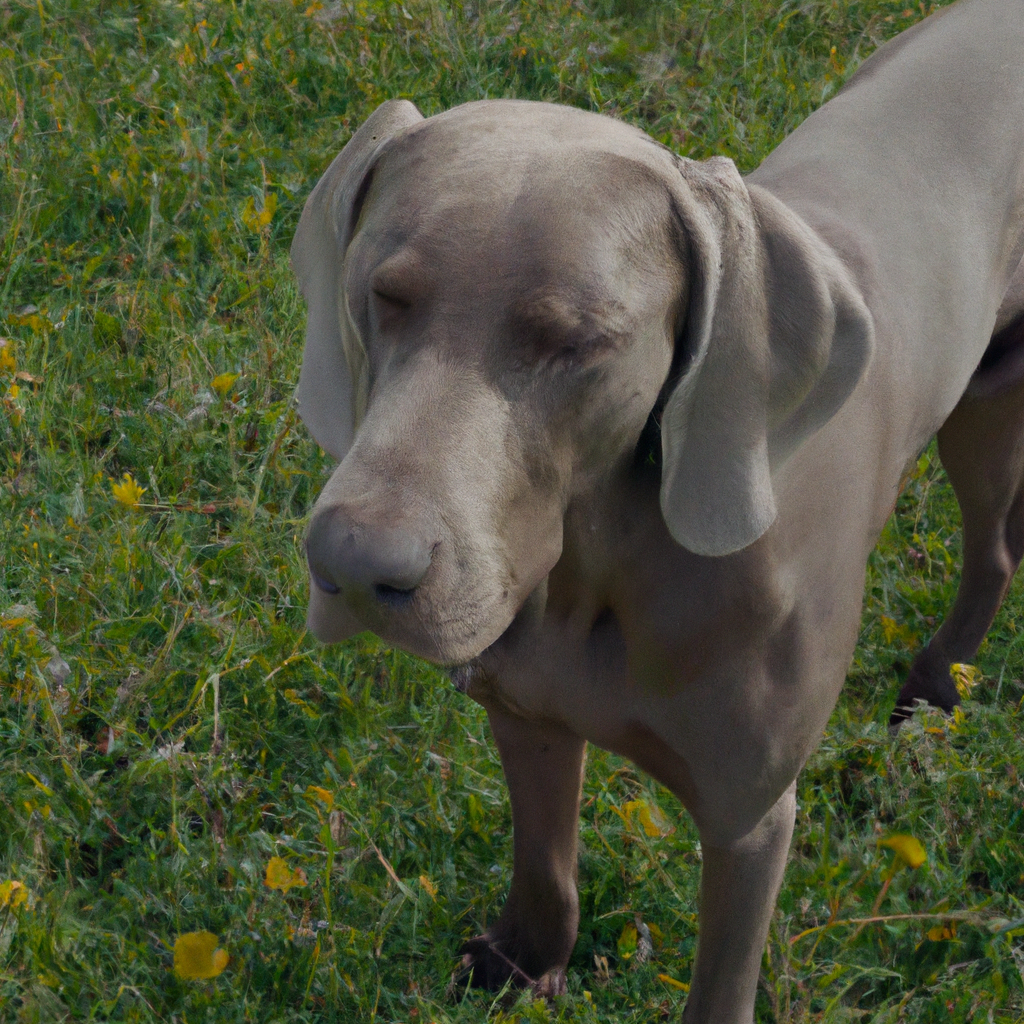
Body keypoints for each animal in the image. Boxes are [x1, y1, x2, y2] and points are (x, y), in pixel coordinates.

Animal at [288, 2, 1024, 1015]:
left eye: (579, 342)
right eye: (381, 295)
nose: (357, 567)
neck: (600, 578)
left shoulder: (750, 819)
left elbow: (720, 986)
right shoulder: (527, 710)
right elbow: (545, 863)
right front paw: (524, 961)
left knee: (993, 551)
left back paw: (934, 690)